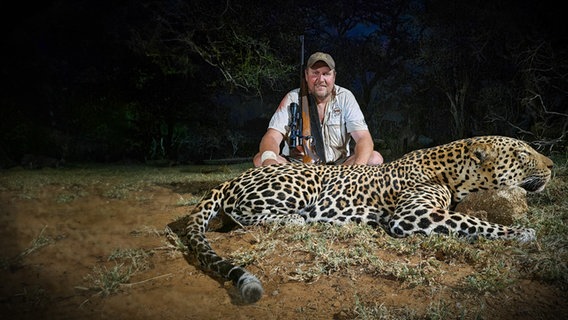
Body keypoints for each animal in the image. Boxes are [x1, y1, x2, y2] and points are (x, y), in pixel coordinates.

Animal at [180, 134, 552, 302]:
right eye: (523, 154)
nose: (551, 165)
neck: (454, 171)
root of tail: (231, 178)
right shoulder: (413, 215)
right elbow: (475, 223)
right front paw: (523, 233)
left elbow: (471, 218)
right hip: (304, 182)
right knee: (240, 215)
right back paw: (301, 219)